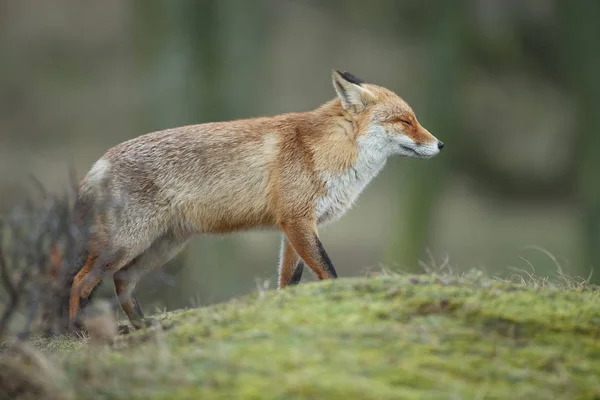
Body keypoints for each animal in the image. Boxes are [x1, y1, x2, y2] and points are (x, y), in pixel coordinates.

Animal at [61, 71, 442, 332]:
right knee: (79, 281)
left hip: (162, 247)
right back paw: (74, 331)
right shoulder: (297, 221)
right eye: (405, 121)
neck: (328, 152)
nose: (440, 145)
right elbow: (328, 272)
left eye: (415, 119)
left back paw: (142, 326)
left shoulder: (294, 228)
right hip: (125, 244)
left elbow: (289, 281)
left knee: (122, 281)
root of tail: (101, 160)